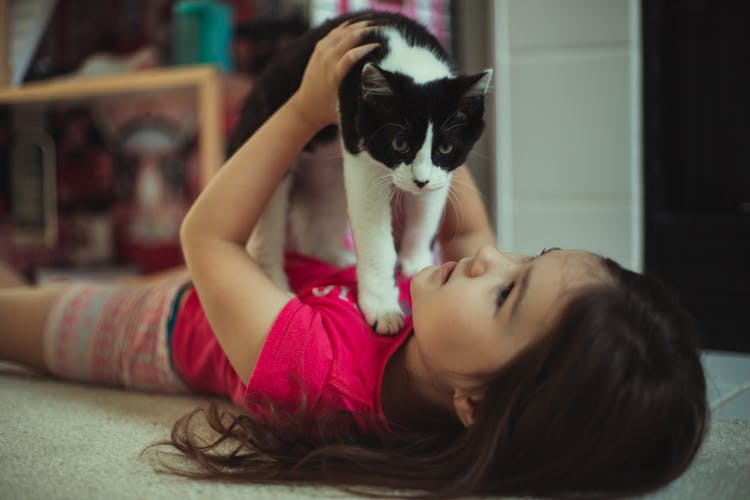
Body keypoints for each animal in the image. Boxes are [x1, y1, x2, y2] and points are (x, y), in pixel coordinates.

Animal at [232, 9, 496, 334]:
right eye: (399, 143)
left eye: (445, 148)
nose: (420, 180)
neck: (405, 51)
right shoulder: (360, 141)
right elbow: (374, 233)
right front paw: (382, 307)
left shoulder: (441, 173)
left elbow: (427, 211)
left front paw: (417, 264)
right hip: (268, 138)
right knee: (268, 219)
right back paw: (271, 277)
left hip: (326, 169)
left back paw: (331, 255)